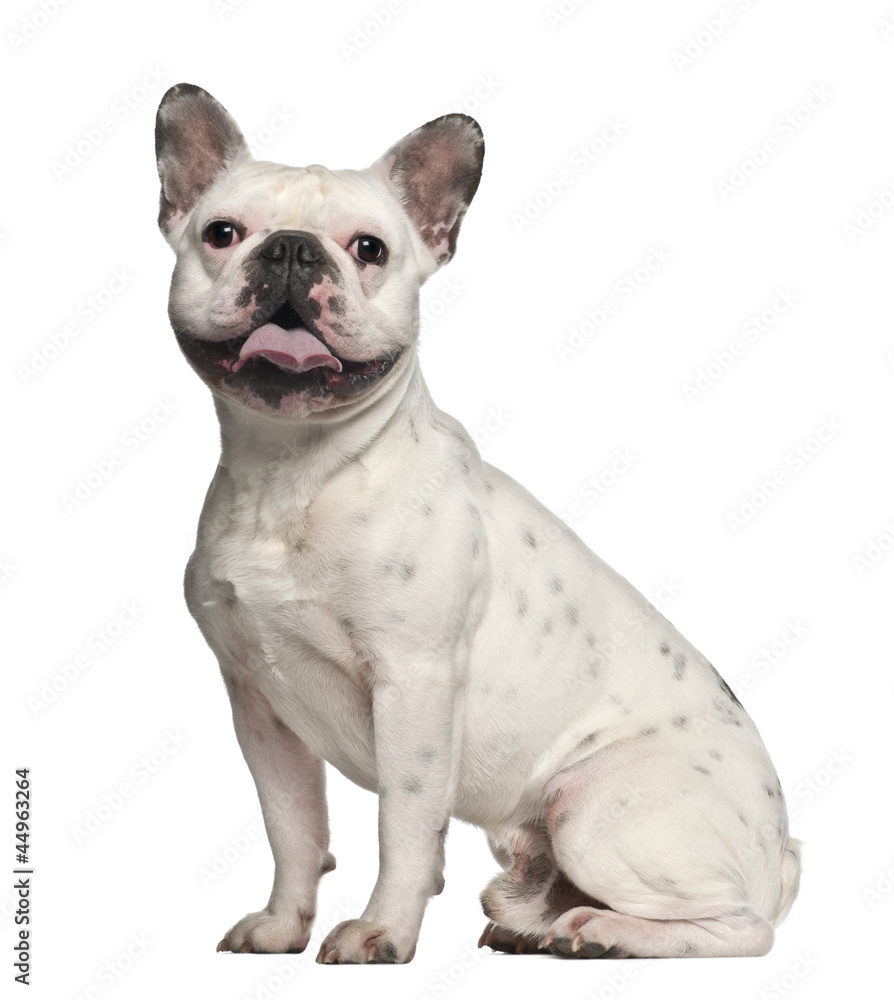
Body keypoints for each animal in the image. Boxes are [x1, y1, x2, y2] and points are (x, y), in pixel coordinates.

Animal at [156, 84, 804, 960]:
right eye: (221, 233)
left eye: (369, 249)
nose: (291, 250)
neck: (294, 471)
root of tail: (781, 849)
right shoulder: (260, 706)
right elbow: (291, 826)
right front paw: (283, 923)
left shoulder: (414, 685)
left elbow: (403, 823)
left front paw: (381, 933)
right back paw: (535, 926)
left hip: (596, 809)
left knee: (741, 928)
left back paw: (602, 933)